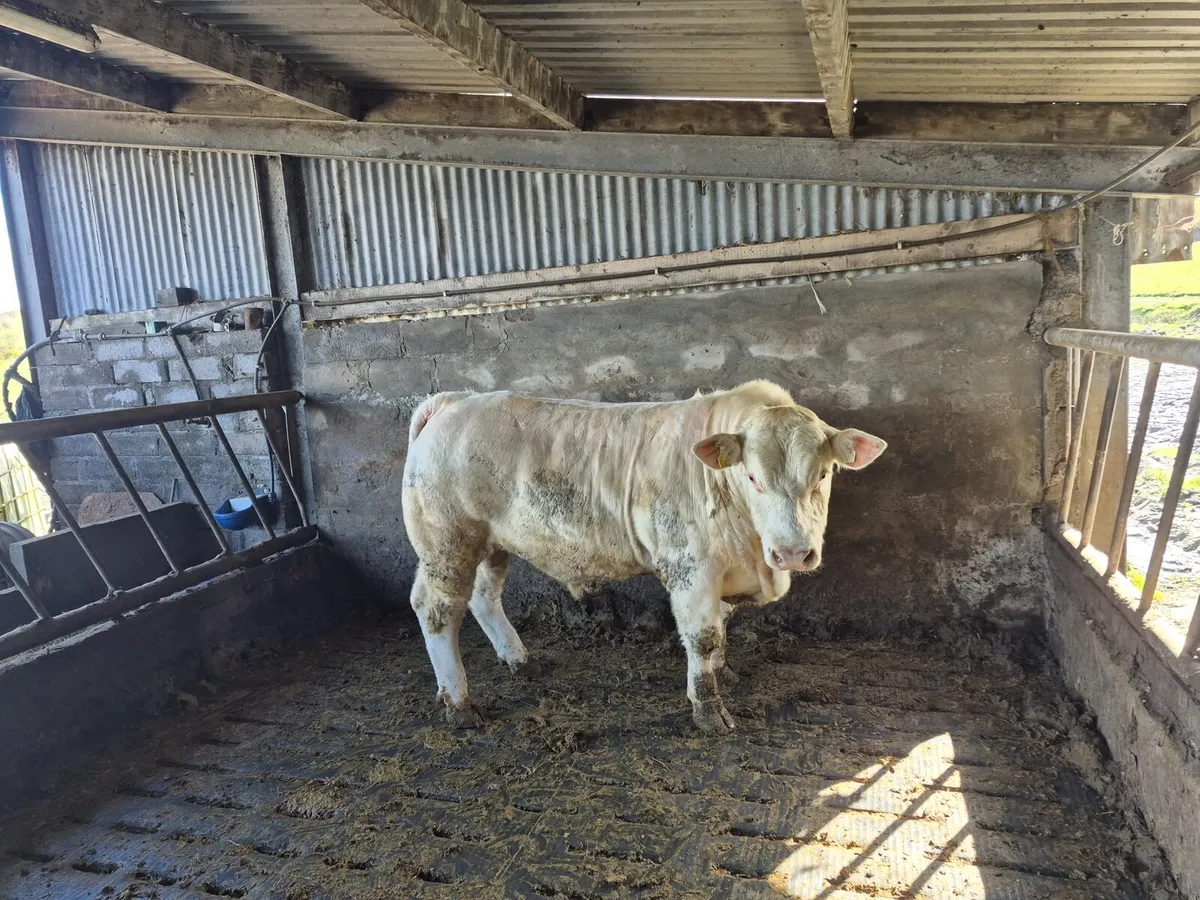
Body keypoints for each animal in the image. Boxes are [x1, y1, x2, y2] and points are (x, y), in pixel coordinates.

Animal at [402, 380, 886, 734]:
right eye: (753, 477)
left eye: (822, 473)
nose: (792, 553)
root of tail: (454, 400)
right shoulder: (690, 567)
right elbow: (702, 636)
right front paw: (708, 708)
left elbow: (721, 625)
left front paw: (723, 670)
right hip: (447, 541)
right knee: (437, 609)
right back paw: (460, 703)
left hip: (491, 542)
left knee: (484, 598)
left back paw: (521, 660)